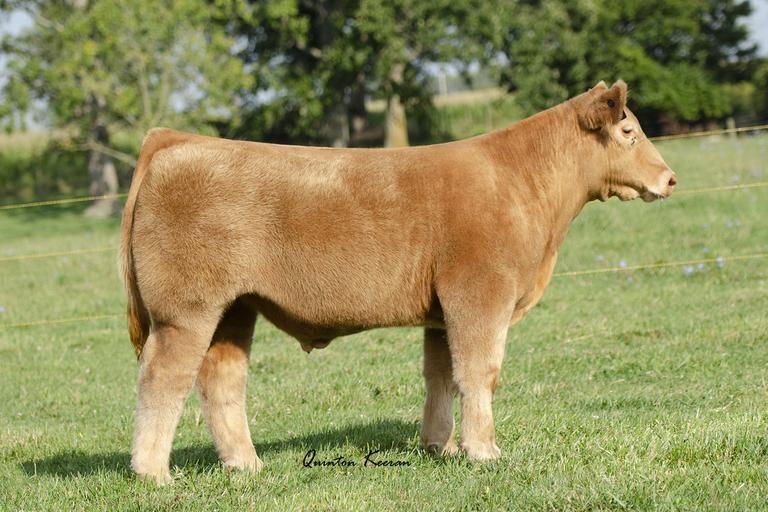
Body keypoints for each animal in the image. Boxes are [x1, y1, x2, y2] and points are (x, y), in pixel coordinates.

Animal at [120, 80, 676, 484]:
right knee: (162, 378)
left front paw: (440, 447)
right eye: (628, 131)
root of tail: (176, 140)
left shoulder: (443, 311)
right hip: (186, 310)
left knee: (222, 380)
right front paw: (484, 451)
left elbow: (442, 376)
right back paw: (153, 474)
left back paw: (247, 464)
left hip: (236, 308)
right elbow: (481, 372)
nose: (670, 178)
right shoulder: (480, 296)